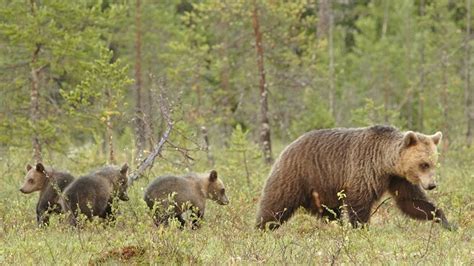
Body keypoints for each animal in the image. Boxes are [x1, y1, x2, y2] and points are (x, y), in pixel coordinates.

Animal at [256, 124, 452, 231]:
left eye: (433, 163)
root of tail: (288, 147)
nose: (432, 185)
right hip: (297, 175)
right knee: (276, 205)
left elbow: (411, 201)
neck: (385, 163)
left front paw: (446, 222)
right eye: (423, 164)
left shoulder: (397, 178)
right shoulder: (364, 169)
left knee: (330, 213)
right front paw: (361, 228)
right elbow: (359, 203)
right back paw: (261, 229)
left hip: (322, 189)